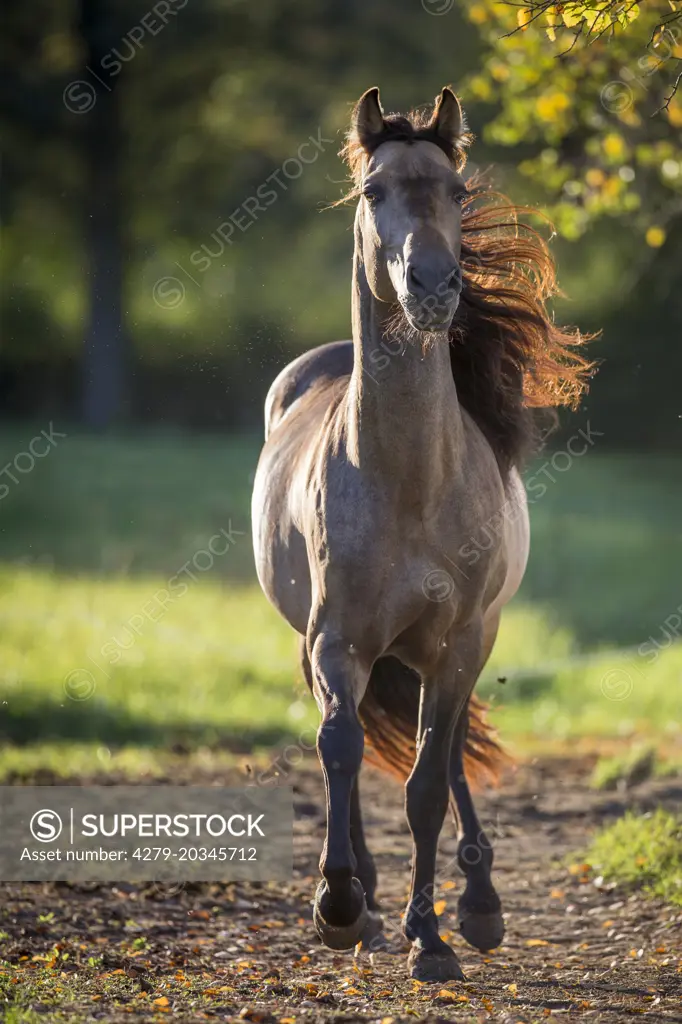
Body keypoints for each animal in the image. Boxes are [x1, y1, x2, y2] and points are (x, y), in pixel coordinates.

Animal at [250, 83, 589, 978]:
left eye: (457, 191)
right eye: (373, 191)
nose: (434, 287)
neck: (407, 483)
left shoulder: (458, 640)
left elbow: (431, 782)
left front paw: (432, 936)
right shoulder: (335, 639)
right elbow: (339, 746)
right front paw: (340, 905)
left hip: (464, 642)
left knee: (451, 748)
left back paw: (477, 905)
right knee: (352, 740)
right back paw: (367, 901)